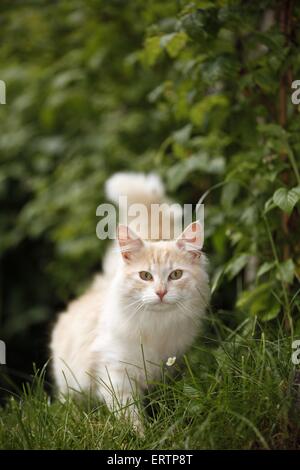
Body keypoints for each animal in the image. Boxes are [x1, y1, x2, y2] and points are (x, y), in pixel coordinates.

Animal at [50, 171, 210, 432]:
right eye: (145, 276)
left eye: (176, 275)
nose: (161, 292)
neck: (156, 326)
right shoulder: (115, 372)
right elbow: (129, 413)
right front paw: (142, 435)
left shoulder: (169, 365)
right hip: (69, 382)